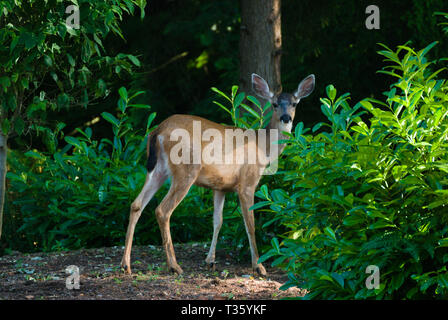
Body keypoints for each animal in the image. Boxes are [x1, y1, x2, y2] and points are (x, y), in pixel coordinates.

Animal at [119, 72, 316, 276]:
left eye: (294, 103)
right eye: (275, 104)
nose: (286, 118)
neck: (263, 147)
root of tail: (157, 131)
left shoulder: (220, 186)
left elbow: (217, 221)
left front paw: (210, 260)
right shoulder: (247, 182)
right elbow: (250, 224)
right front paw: (258, 266)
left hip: (157, 169)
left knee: (136, 204)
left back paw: (126, 264)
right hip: (186, 168)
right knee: (162, 210)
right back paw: (174, 266)